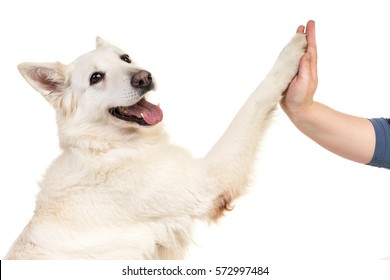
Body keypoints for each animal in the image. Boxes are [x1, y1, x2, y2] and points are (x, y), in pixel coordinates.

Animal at [4, 31, 306, 260]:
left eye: (125, 58)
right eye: (96, 77)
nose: (144, 77)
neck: (107, 148)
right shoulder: (209, 182)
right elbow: (256, 99)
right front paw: (292, 52)